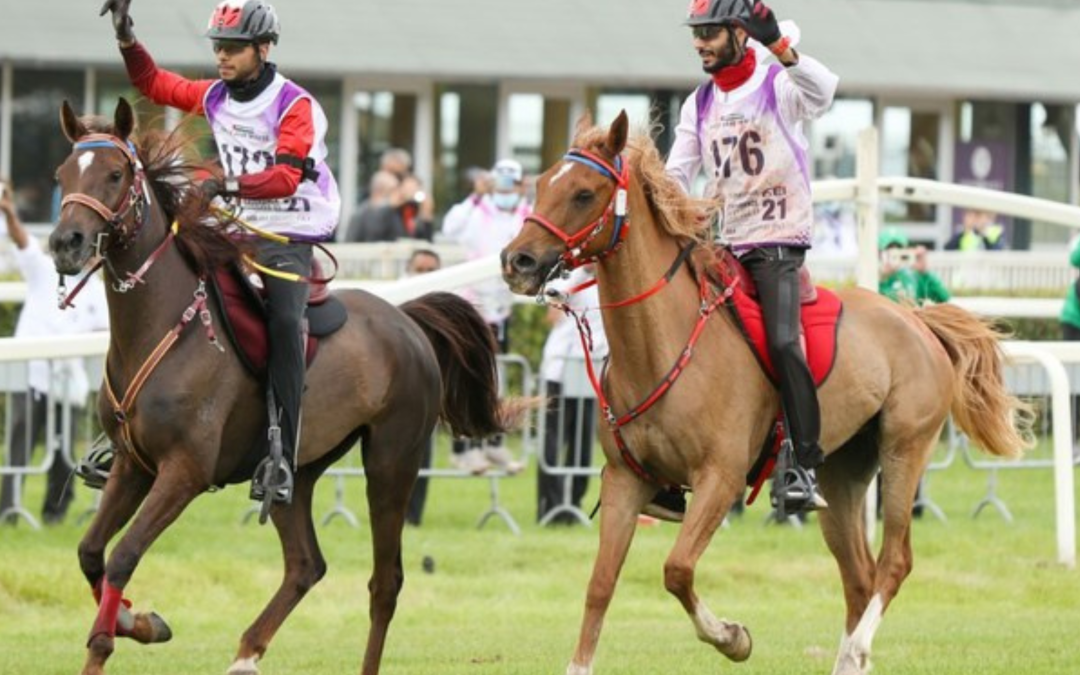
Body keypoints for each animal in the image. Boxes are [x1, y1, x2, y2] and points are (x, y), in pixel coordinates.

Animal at [52, 98, 516, 673]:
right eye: (62, 174)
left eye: (115, 174)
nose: (65, 243)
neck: (164, 325)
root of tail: (405, 317)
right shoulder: (133, 464)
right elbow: (91, 552)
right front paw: (137, 622)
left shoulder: (183, 472)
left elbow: (122, 556)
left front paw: (110, 637)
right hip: (297, 473)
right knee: (305, 564)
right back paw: (247, 651)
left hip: (392, 461)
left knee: (385, 582)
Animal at [501, 111, 1032, 673]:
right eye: (541, 184)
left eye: (584, 193)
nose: (517, 261)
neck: (663, 343)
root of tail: (916, 320)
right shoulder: (625, 481)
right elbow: (601, 585)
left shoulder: (719, 478)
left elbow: (677, 568)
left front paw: (732, 637)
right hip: (841, 476)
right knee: (859, 577)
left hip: (905, 451)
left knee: (894, 561)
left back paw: (858, 648)